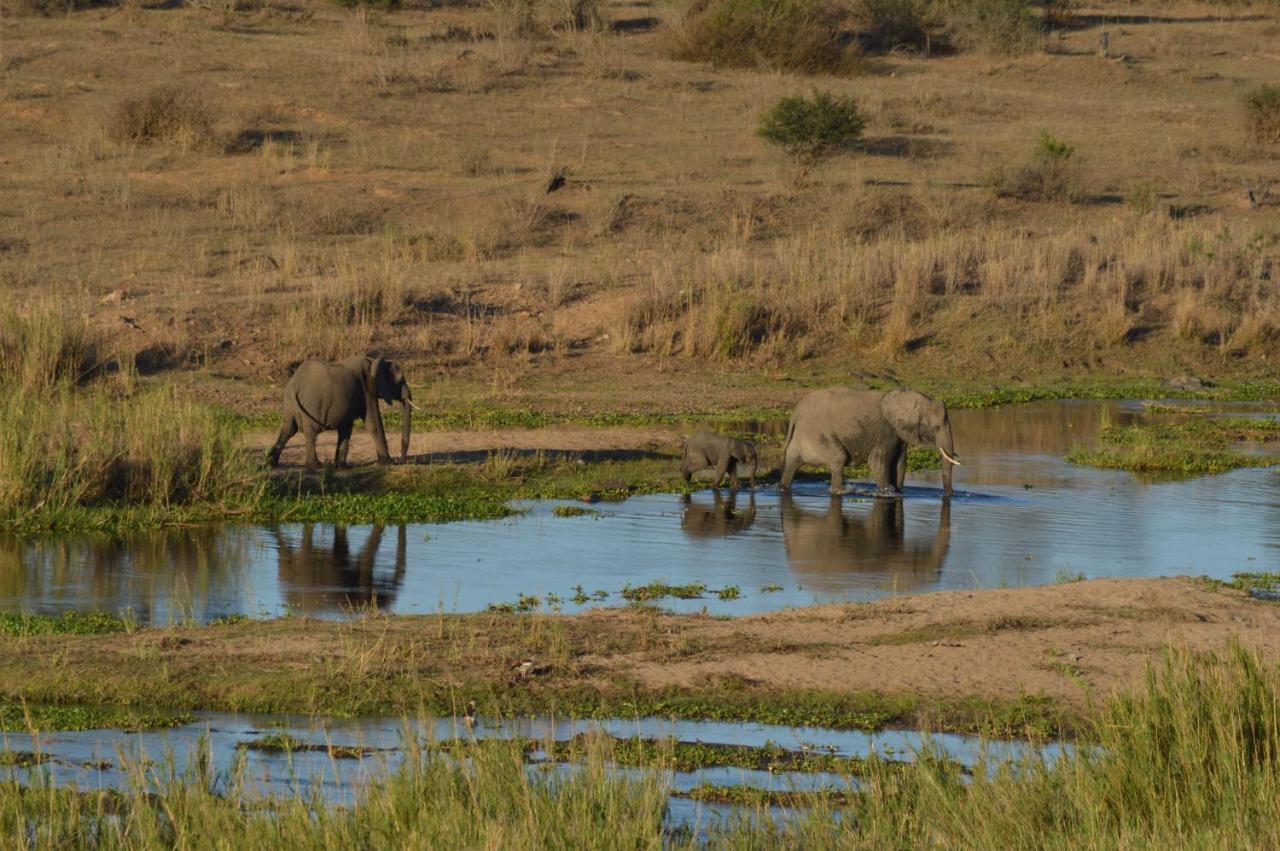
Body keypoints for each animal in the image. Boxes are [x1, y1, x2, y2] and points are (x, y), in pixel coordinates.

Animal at [266, 353, 414, 468]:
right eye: (400, 380)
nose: (402, 460)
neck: (374, 361)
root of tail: (293, 386)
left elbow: (346, 429)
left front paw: (342, 466)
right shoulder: (368, 388)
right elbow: (374, 424)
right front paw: (388, 462)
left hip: (289, 405)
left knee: (288, 430)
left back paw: (271, 463)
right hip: (311, 404)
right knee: (311, 431)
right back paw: (315, 465)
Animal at [773, 386, 957, 499]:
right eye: (937, 427)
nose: (947, 496)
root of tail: (796, 411)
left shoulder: (900, 432)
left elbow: (900, 463)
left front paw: (898, 493)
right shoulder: (886, 430)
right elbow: (878, 461)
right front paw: (885, 493)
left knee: (792, 461)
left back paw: (782, 488)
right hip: (816, 433)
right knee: (838, 459)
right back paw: (839, 491)